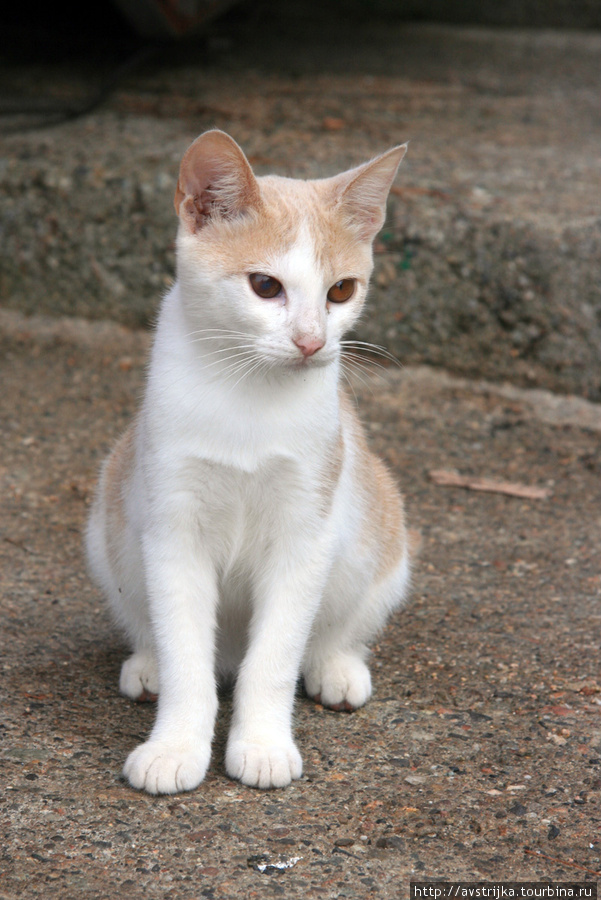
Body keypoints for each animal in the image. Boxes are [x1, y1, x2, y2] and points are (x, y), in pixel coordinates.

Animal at [85, 128, 412, 796]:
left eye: (341, 290)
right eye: (266, 286)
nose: (312, 342)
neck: (248, 394)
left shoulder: (304, 533)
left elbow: (275, 659)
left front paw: (262, 744)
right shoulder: (173, 530)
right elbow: (186, 657)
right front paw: (176, 746)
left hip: (381, 539)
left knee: (338, 626)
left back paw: (335, 665)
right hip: (108, 531)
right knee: (157, 629)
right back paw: (148, 664)